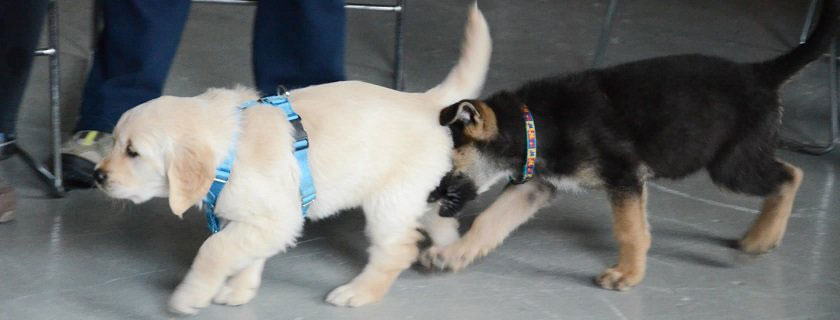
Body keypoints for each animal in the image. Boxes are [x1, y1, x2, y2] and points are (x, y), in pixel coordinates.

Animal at [97, 4, 492, 316]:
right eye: (114, 141)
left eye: (133, 152)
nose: (98, 176)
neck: (228, 149)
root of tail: (425, 102)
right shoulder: (258, 220)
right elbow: (245, 252)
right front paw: (239, 288)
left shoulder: (275, 217)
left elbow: (214, 249)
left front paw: (190, 296)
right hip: (412, 192)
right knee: (438, 220)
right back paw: (448, 251)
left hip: (388, 201)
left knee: (398, 250)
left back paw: (358, 292)